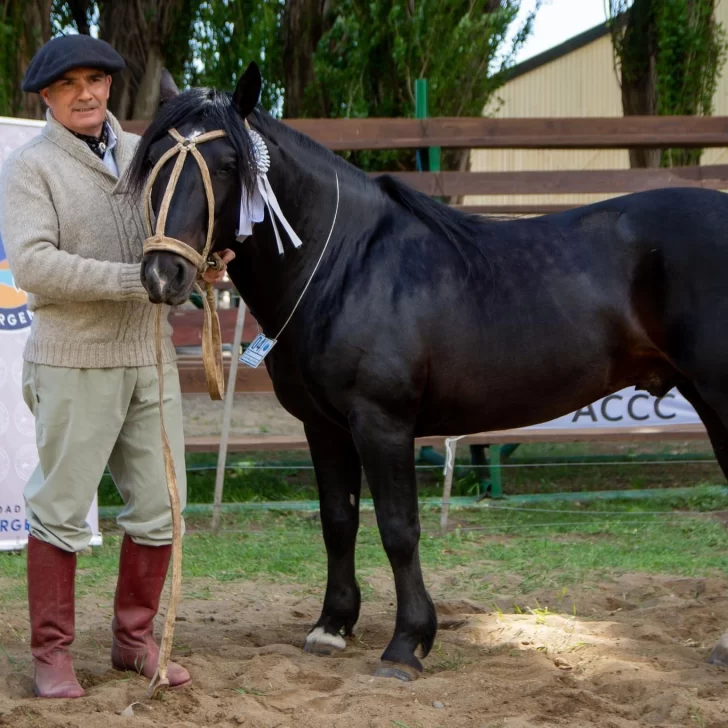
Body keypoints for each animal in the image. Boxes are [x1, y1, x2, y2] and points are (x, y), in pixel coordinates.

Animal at [126, 64, 728, 684]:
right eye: (154, 158)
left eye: (227, 164)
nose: (162, 274)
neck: (345, 265)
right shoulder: (324, 427)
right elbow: (337, 521)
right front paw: (332, 627)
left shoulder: (382, 424)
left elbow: (398, 528)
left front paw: (406, 643)